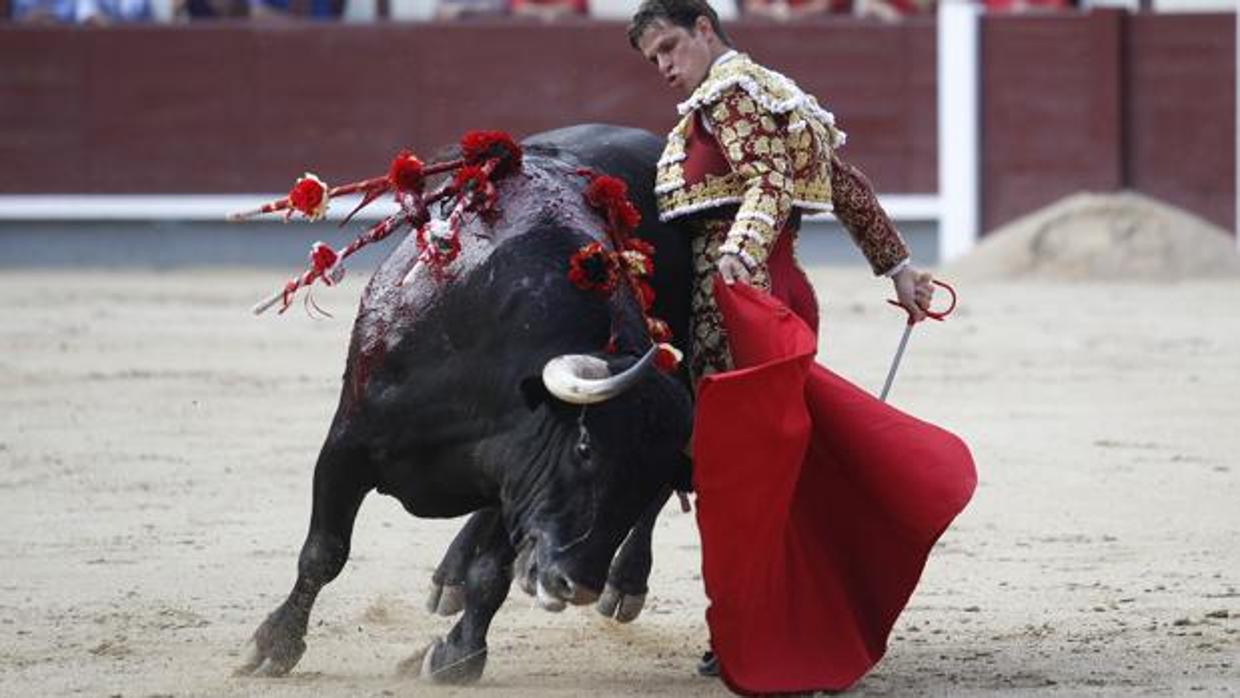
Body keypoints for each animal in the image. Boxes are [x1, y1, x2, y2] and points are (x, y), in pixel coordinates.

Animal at [239, 123, 699, 684]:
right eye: (585, 448)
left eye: (648, 479)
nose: (578, 584)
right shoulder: (346, 445)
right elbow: (324, 551)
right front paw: (274, 645)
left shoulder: (519, 477)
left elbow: (491, 574)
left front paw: (457, 655)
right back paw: (450, 577)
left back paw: (621, 585)